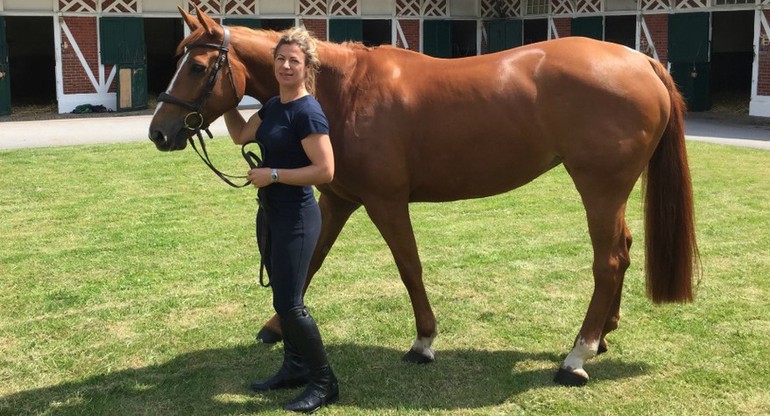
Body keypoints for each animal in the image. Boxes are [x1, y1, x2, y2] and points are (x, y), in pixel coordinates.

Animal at [148, 5, 696, 386]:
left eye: (196, 67)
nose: (159, 132)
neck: (346, 91)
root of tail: (641, 60)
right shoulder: (338, 199)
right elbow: (310, 263)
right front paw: (276, 326)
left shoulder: (385, 202)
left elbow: (408, 266)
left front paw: (424, 341)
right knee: (623, 251)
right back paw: (603, 336)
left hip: (599, 187)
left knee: (608, 260)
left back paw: (576, 356)